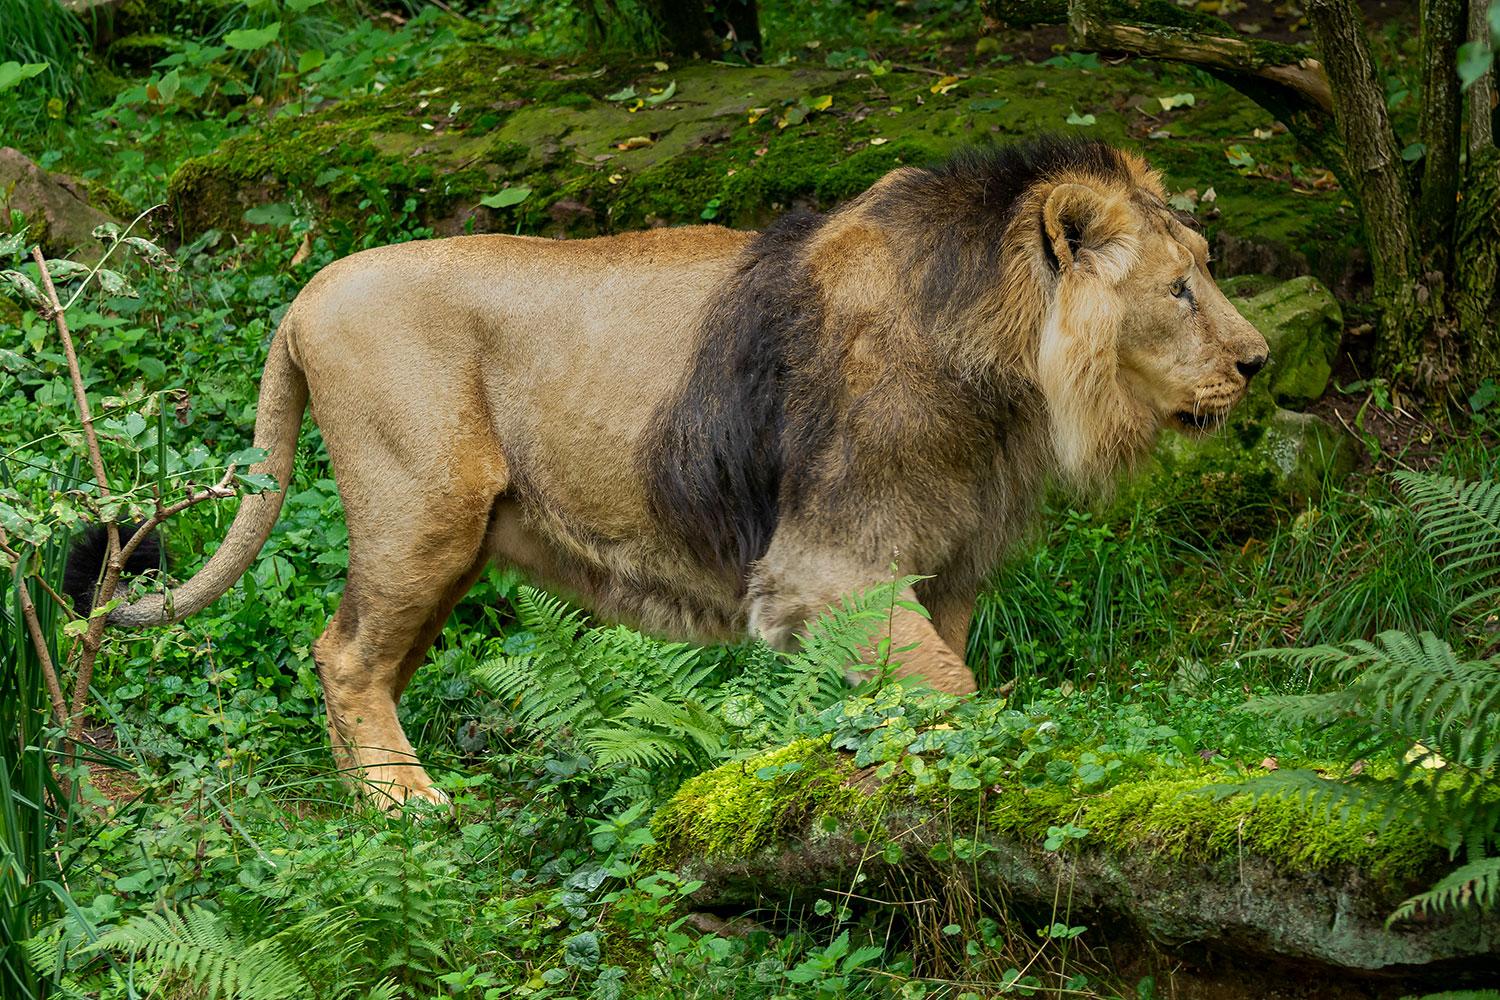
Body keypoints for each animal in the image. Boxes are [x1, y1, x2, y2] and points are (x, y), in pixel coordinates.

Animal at [100, 137, 1268, 806]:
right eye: (1178, 290)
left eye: (1206, 271)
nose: (1258, 362)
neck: (1006, 375)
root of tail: (306, 293)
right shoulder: (821, 568)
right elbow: (955, 689)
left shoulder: (941, 570)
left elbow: (917, 681)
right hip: (422, 510)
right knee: (343, 657)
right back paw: (408, 811)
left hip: (456, 544)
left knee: (350, 656)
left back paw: (375, 814)